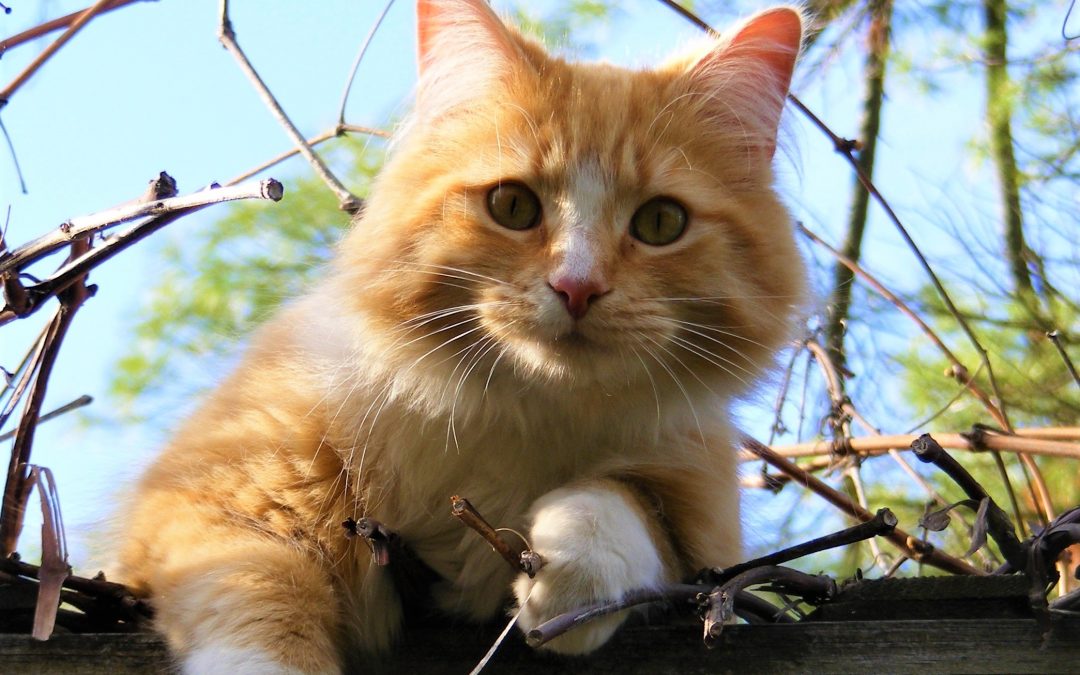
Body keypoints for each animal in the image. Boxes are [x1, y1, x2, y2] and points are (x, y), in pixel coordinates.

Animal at [116, 2, 812, 669]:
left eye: (661, 223)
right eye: (512, 207)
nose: (577, 287)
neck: (516, 417)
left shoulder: (703, 514)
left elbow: (622, 503)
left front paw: (572, 579)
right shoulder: (218, 496)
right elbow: (265, 602)